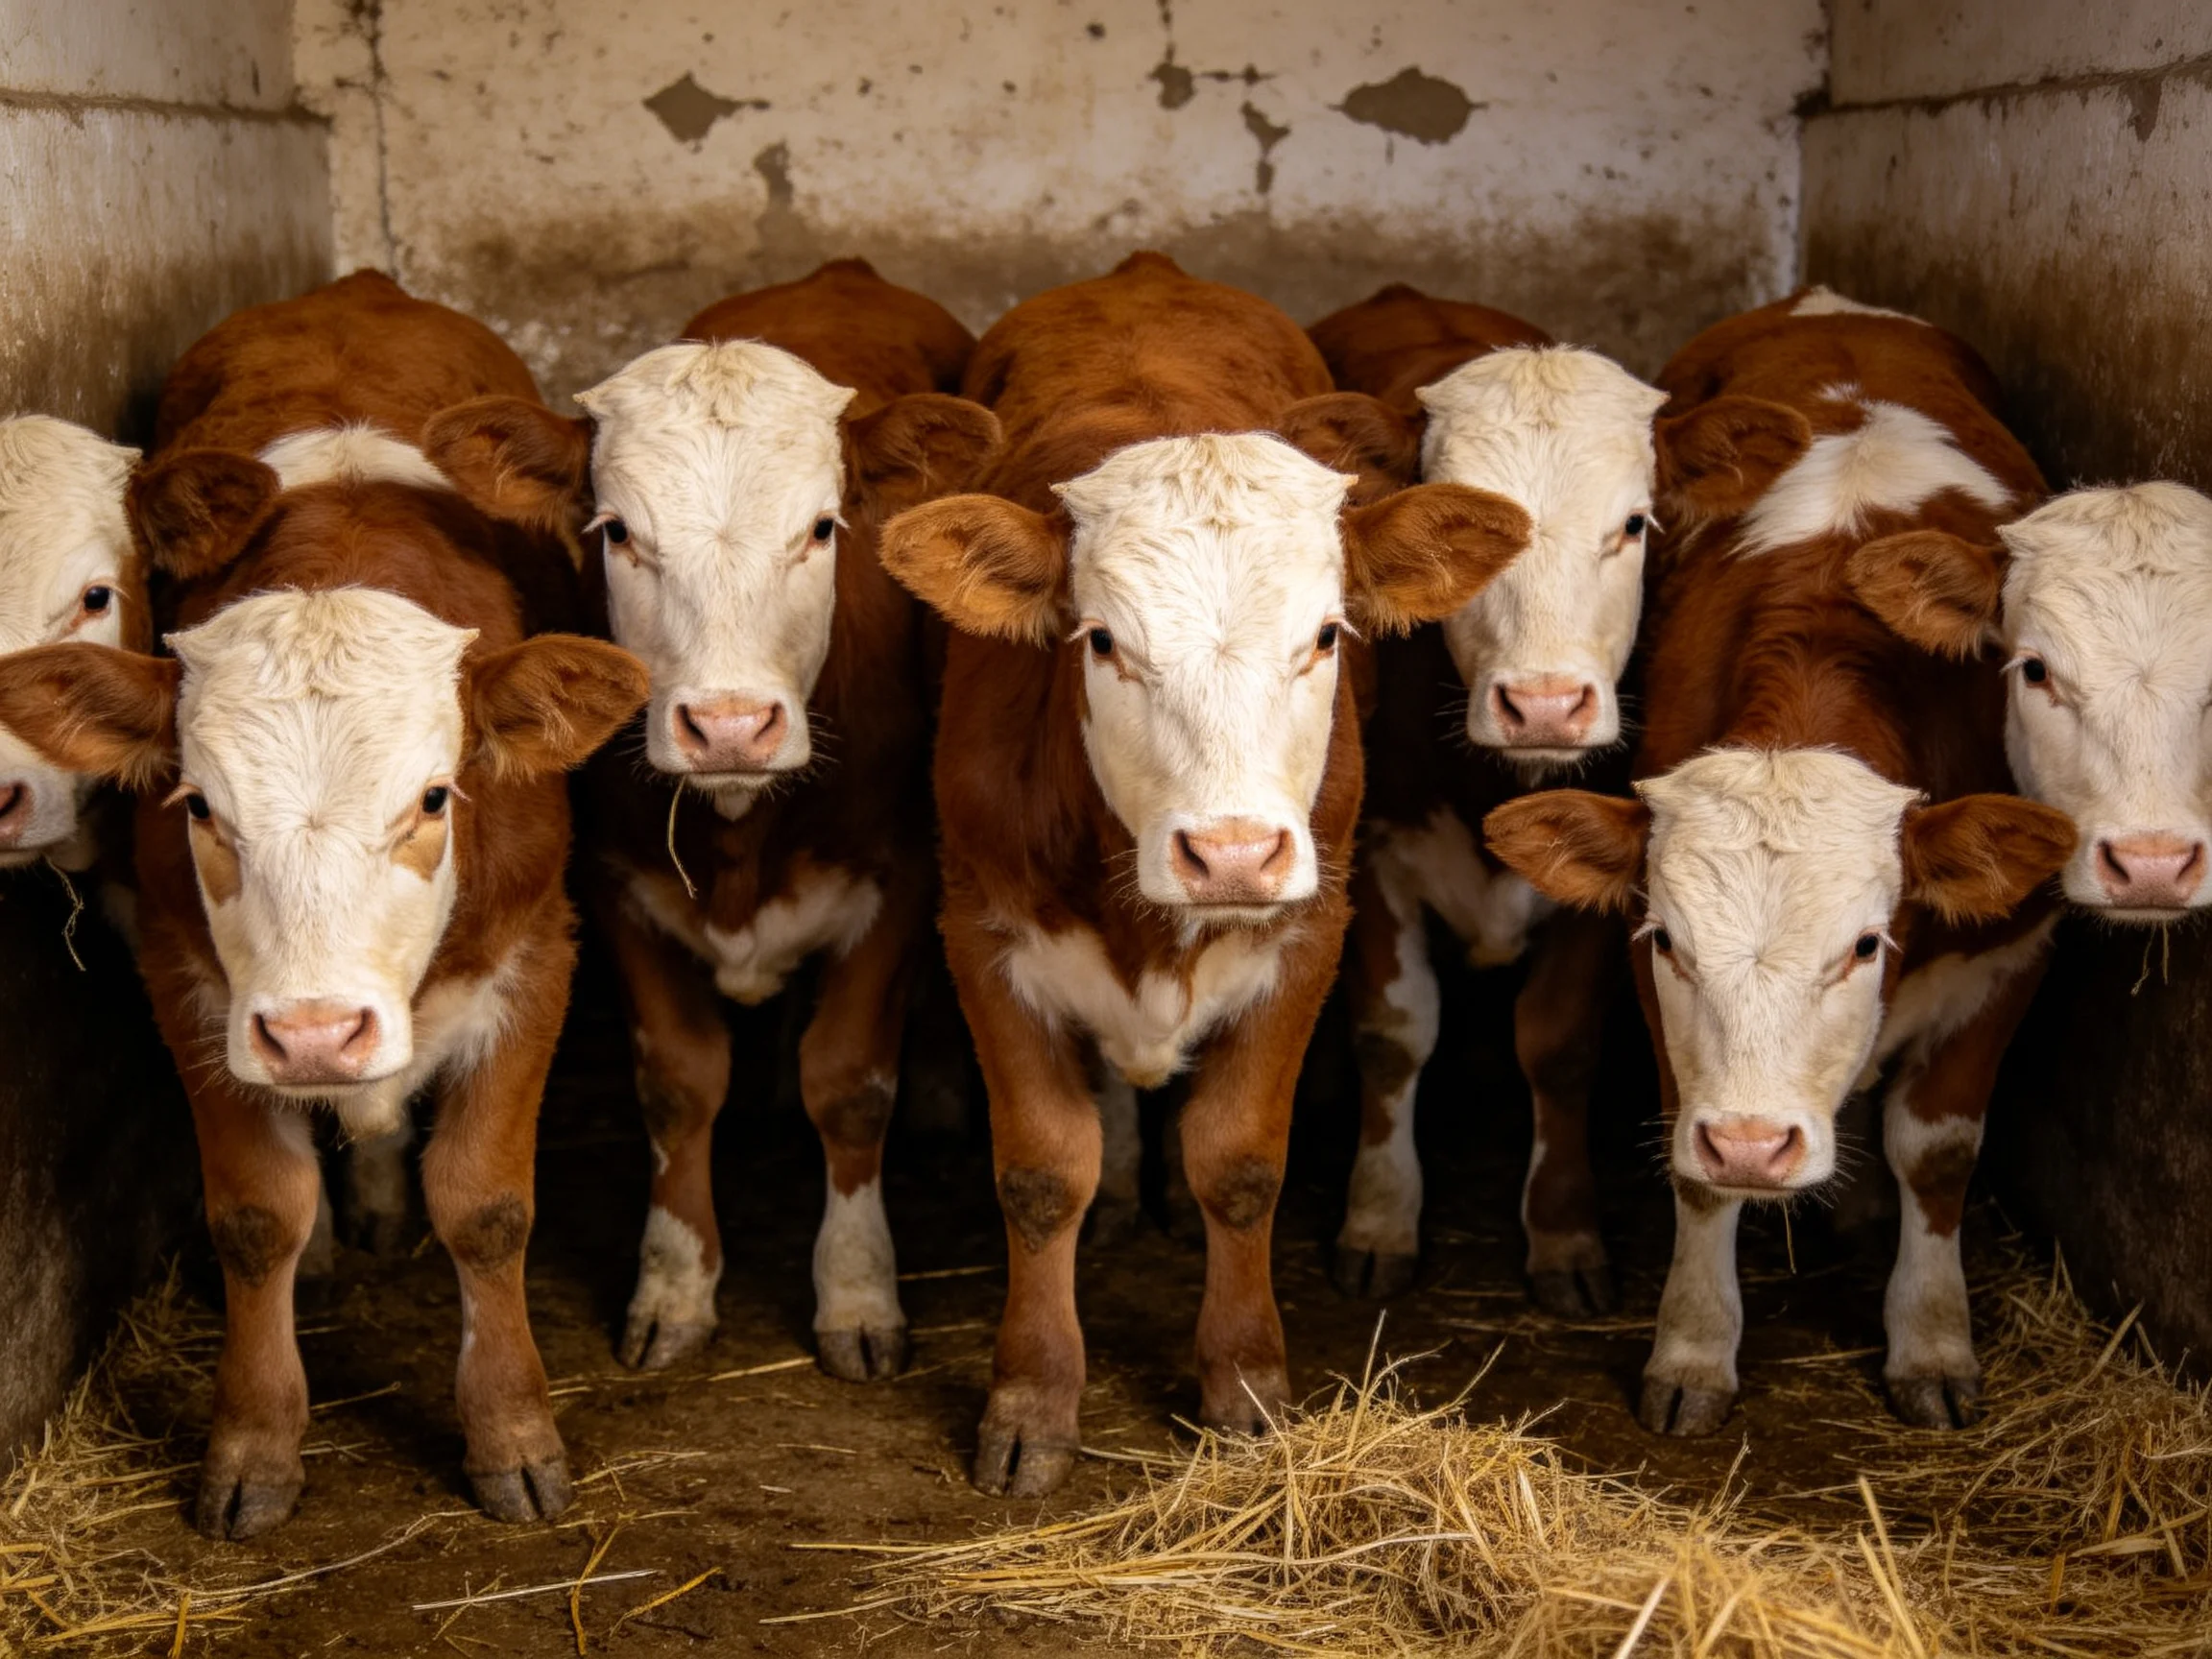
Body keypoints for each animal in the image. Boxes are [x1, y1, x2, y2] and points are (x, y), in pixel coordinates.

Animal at [423, 259, 1001, 1381]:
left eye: (822, 528)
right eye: (617, 532)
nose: (729, 723)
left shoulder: (899, 872)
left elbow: (851, 1080)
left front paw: (857, 1290)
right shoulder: (616, 884)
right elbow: (679, 1082)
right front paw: (674, 1285)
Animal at [877, 251, 1533, 1495]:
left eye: (1326, 636)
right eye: (1100, 640)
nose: (1231, 850)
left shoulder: (1311, 928)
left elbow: (1240, 1162)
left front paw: (1246, 1384)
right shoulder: (979, 928)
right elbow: (1043, 1172)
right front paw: (1033, 1399)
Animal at [1304, 284, 1808, 1313]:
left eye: (1635, 524)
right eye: (1457, 534)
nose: (1543, 702)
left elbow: (1561, 1043)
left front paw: (1565, 1232)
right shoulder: (1372, 848)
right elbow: (1393, 1034)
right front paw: (1378, 1216)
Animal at [1485, 289, 2077, 1436]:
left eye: (1864, 946)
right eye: (1670, 940)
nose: (1758, 1142)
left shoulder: (2012, 948)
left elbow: (1938, 1150)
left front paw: (1932, 1338)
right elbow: (1696, 1172)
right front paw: (1693, 1349)